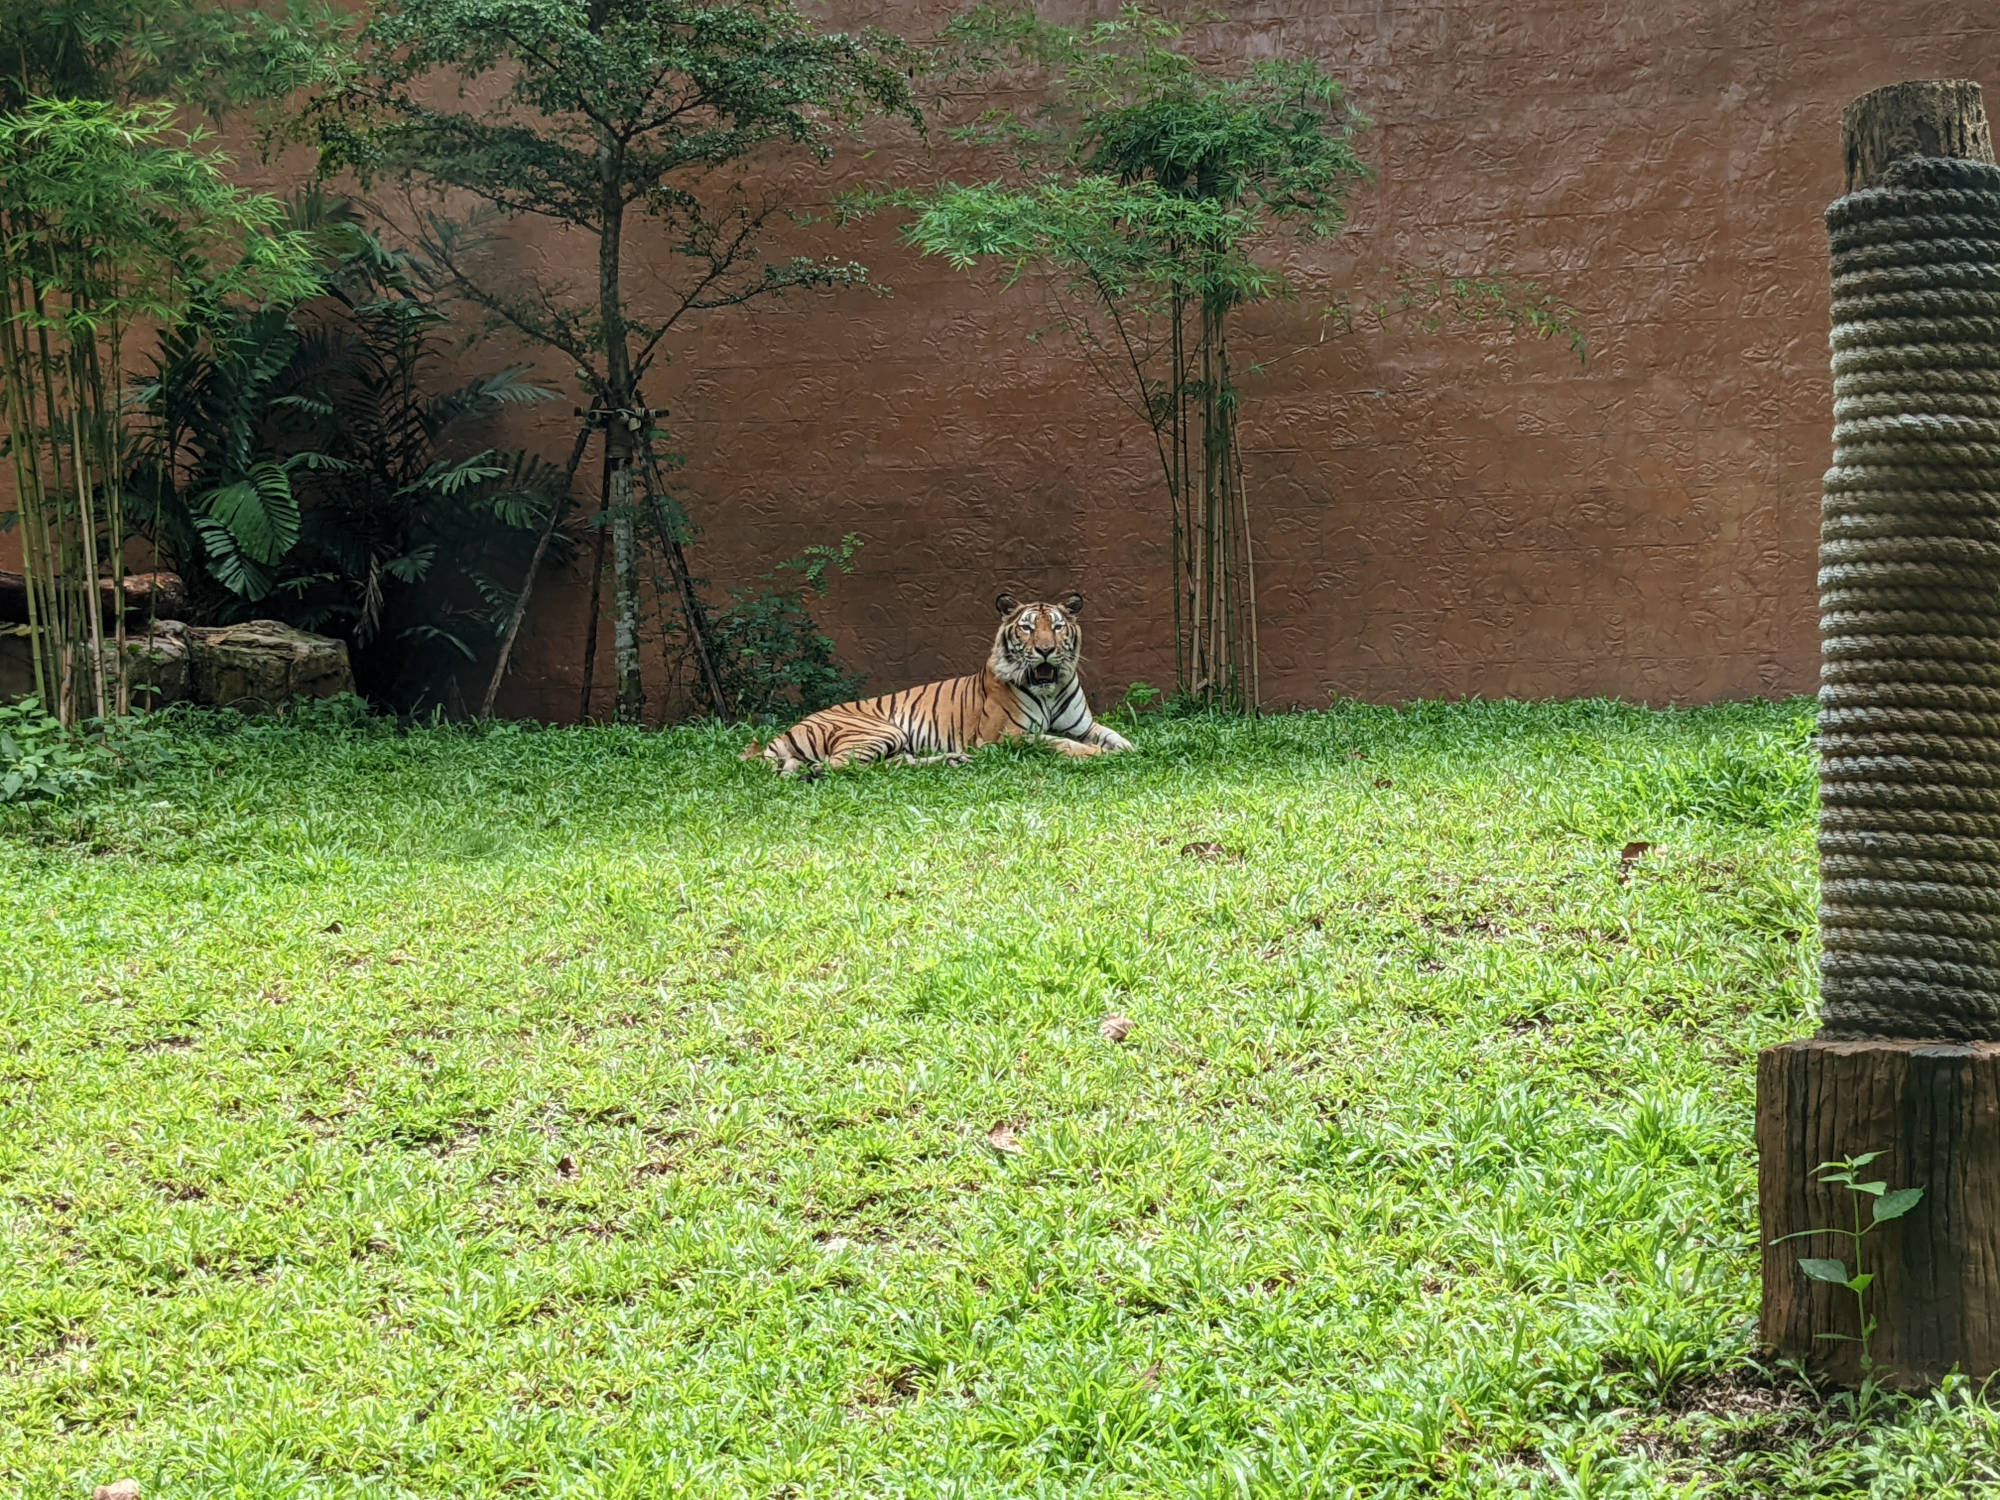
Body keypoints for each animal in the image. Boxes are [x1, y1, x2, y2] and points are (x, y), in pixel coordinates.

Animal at [740, 592, 1144, 776]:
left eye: (1058, 627)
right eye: (1027, 628)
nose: (1045, 650)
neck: (1050, 688)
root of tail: (792, 728)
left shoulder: (1084, 725)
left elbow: (1115, 736)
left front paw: (1132, 750)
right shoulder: (1006, 736)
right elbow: (1057, 742)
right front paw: (1096, 755)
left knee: (896, 763)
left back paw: (953, 760)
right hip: (879, 731)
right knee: (841, 766)